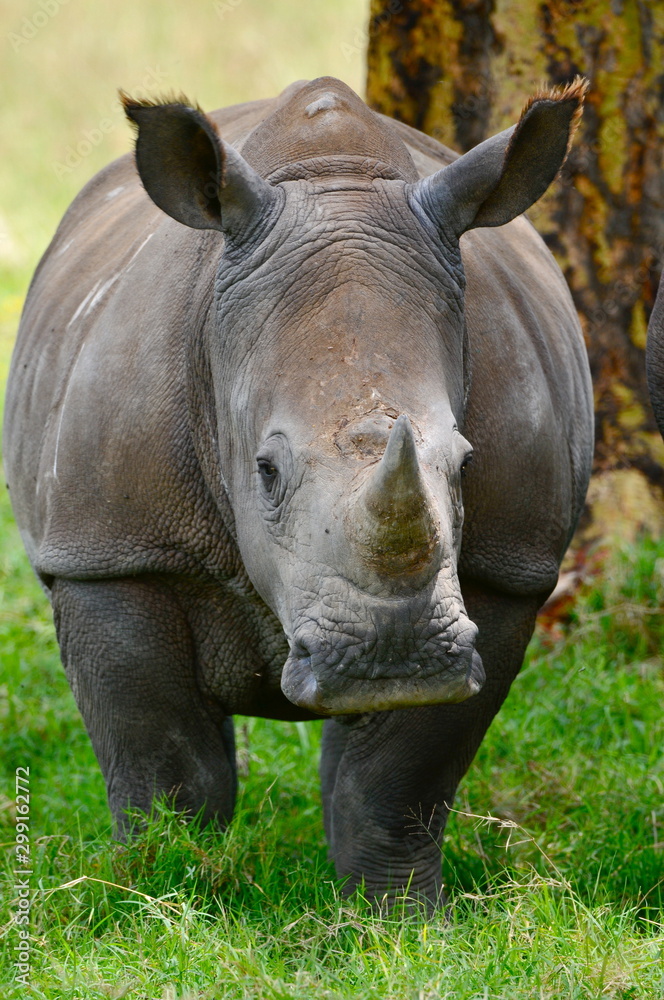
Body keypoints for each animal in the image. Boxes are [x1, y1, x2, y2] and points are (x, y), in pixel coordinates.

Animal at [3, 76, 593, 908]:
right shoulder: (109, 551)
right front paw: (167, 892)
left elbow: (396, 781)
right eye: (266, 471)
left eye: (466, 463)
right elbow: (164, 766)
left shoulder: (507, 570)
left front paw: (398, 917)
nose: (392, 661)